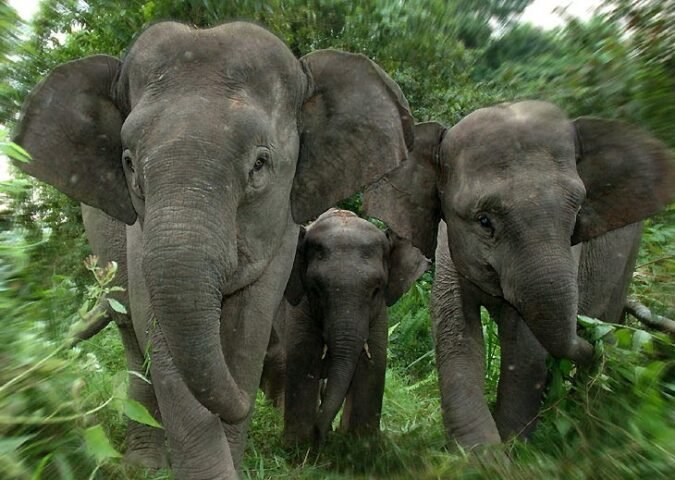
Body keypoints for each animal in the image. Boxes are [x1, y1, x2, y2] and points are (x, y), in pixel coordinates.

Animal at [264, 209, 428, 445]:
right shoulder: (299, 306)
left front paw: (359, 444)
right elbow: (303, 359)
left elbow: (373, 364)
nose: (321, 437)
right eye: (316, 289)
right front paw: (299, 446)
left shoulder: (380, 314)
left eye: (376, 290)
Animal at [363, 101, 675, 448]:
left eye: (578, 213)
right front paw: (486, 453)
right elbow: (457, 329)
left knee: (607, 317)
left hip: (628, 256)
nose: (587, 342)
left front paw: (512, 448)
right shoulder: (449, 240)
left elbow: (524, 343)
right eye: (484, 221)